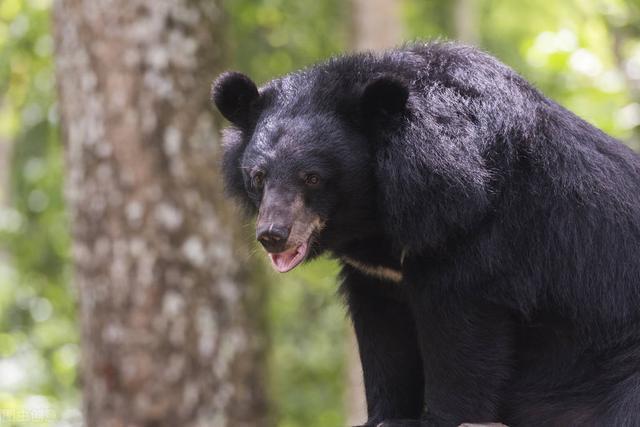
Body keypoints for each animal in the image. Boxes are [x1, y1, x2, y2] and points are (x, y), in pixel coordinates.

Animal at [211, 42, 640, 426]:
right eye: (258, 177)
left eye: (312, 177)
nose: (272, 235)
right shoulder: (374, 275)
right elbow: (383, 337)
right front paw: (383, 417)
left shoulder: (472, 233)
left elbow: (461, 337)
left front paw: (437, 418)